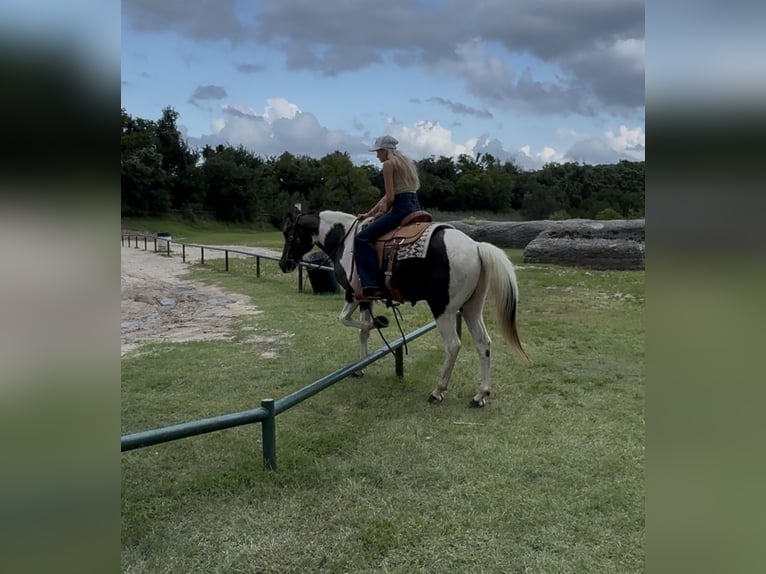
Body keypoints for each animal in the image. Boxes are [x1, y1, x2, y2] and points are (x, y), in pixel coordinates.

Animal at [278, 208, 529, 407]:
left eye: (288, 233)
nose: (283, 264)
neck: (345, 240)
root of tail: (476, 247)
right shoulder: (365, 298)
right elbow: (361, 332)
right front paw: (361, 365)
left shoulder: (353, 294)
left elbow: (346, 320)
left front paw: (378, 324)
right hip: (471, 309)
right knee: (483, 343)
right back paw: (481, 394)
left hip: (443, 309)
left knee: (453, 345)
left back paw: (438, 391)